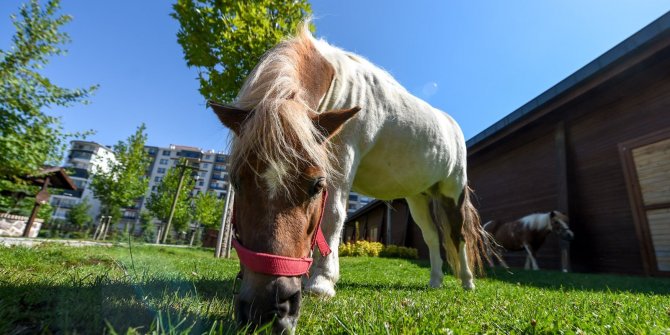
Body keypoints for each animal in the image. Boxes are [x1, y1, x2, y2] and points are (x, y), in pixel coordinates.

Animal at [210, 23, 488, 334]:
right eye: (236, 180)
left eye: (317, 185)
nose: (267, 309)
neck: (337, 86)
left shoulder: (343, 157)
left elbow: (333, 216)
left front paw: (322, 282)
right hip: (417, 197)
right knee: (431, 237)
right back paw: (435, 281)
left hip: (453, 190)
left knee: (457, 235)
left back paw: (467, 282)